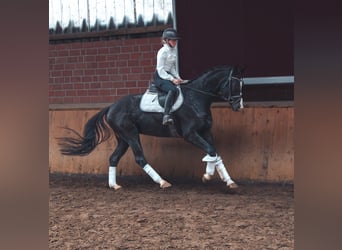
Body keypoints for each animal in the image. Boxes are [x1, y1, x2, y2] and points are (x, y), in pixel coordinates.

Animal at [59, 65, 246, 190]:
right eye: (234, 84)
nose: (240, 106)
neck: (196, 98)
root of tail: (112, 106)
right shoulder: (190, 134)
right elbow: (211, 151)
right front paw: (207, 176)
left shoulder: (206, 132)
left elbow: (215, 153)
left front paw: (229, 181)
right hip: (131, 134)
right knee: (140, 158)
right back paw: (162, 182)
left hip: (123, 138)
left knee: (113, 158)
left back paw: (114, 185)